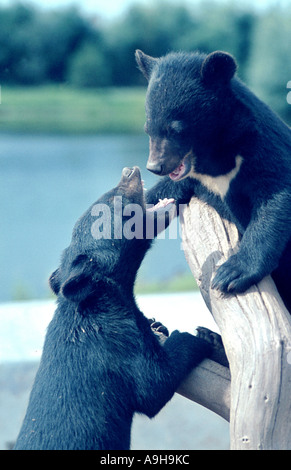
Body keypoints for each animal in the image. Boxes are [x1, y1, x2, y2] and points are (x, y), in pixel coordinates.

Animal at [136, 49, 291, 314]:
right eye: (148, 128)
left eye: (176, 129)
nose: (155, 166)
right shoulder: (195, 179)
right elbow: (164, 192)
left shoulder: (260, 148)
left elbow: (275, 196)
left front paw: (231, 274)